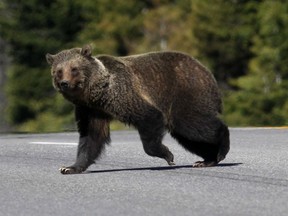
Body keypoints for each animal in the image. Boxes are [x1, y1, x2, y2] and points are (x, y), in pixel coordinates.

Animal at [45, 45, 230, 174]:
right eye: (58, 71)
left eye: (74, 69)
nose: (64, 83)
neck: (96, 94)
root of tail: (205, 70)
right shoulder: (90, 110)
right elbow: (91, 137)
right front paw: (70, 167)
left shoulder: (123, 95)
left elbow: (149, 117)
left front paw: (167, 155)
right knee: (188, 135)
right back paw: (207, 160)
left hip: (185, 92)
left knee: (193, 124)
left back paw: (220, 150)